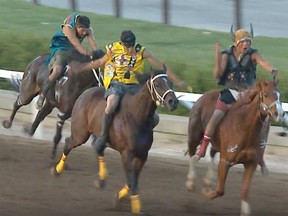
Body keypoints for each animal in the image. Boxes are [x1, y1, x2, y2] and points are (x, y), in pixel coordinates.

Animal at [50, 68, 179, 213]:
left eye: (170, 83)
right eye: (157, 84)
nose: (173, 101)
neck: (137, 116)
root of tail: (86, 93)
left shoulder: (142, 155)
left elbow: (133, 180)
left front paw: (121, 198)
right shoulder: (126, 154)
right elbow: (131, 180)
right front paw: (134, 205)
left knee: (97, 147)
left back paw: (101, 179)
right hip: (80, 133)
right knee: (68, 144)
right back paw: (57, 169)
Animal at [186, 80, 282, 216]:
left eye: (279, 96)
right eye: (266, 94)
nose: (279, 113)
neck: (244, 126)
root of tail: (202, 97)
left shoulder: (251, 164)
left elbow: (245, 190)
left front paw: (245, 211)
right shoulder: (225, 162)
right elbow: (220, 190)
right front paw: (207, 192)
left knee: (211, 154)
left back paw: (208, 180)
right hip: (194, 135)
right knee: (192, 154)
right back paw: (191, 181)